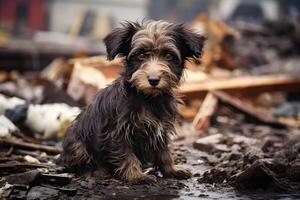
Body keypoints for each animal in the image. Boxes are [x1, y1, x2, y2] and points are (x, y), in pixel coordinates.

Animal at [60, 19, 205, 183]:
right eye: (140, 54)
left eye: (168, 55)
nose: (153, 80)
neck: (148, 98)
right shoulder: (118, 132)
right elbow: (127, 155)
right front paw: (136, 175)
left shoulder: (161, 129)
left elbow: (164, 152)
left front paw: (171, 170)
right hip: (77, 143)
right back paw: (96, 171)